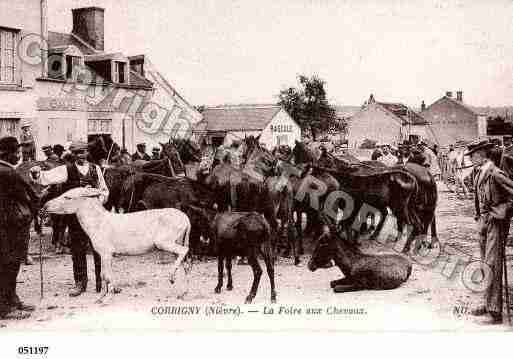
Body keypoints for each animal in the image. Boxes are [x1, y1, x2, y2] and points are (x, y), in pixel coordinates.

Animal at [43, 188, 192, 304]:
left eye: (67, 197)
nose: (44, 206)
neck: (98, 222)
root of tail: (186, 218)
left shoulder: (106, 253)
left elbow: (107, 275)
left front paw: (107, 298)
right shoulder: (104, 255)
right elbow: (103, 275)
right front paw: (101, 297)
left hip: (164, 242)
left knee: (184, 251)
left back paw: (171, 277)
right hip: (176, 241)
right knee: (184, 263)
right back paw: (182, 293)